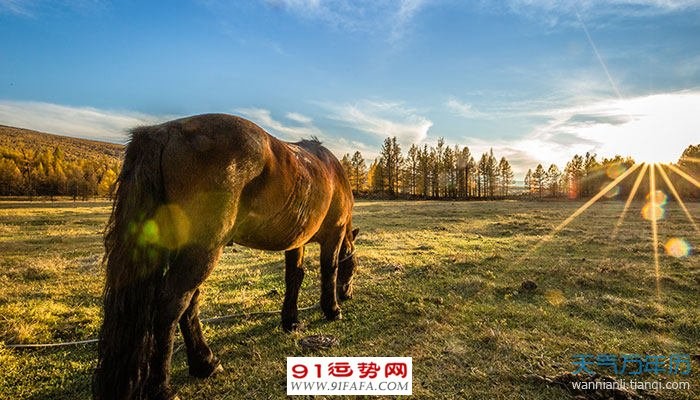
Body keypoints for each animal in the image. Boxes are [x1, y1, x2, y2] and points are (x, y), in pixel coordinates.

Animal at [92, 113, 359, 400]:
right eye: (353, 268)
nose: (347, 294)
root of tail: (164, 132)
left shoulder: (295, 241)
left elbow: (294, 278)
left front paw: (291, 321)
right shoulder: (333, 235)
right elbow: (329, 269)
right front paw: (332, 309)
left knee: (189, 303)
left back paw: (205, 363)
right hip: (204, 251)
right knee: (171, 305)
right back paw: (163, 387)